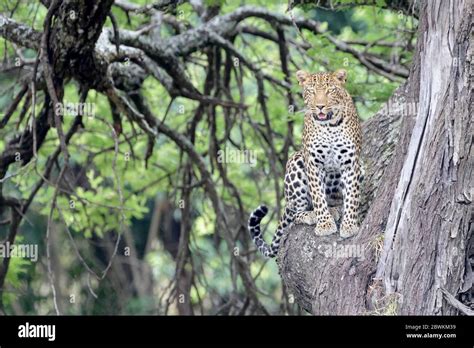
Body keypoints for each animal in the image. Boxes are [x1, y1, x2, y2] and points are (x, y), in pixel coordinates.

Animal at [248, 68, 362, 258]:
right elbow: (318, 196)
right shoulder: (313, 164)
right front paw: (324, 225)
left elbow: (352, 196)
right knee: (295, 214)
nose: (320, 106)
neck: (329, 126)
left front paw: (350, 225)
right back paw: (312, 215)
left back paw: (335, 209)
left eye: (330, 90)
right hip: (296, 162)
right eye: (311, 91)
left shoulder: (351, 163)